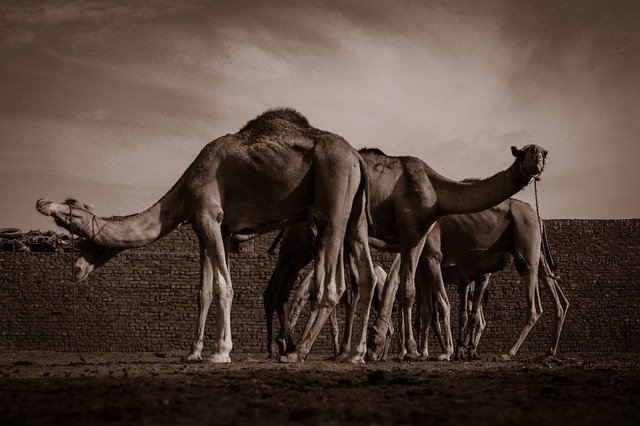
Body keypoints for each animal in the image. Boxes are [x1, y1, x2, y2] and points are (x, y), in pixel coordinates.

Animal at [37, 108, 378, 364]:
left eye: (91, 241)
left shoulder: (208, 215)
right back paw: (356, 355)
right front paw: (193, 352)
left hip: (332, 202)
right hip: (355, 215)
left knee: (334, 283)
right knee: (368, 274)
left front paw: (221, 352)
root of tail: (356, 158)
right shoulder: (214, 229)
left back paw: (298, 353)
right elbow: (203, 292)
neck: (183, 189)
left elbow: (223, 285)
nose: (76, 269)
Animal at [262, 145, 548, 362]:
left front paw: (412, 351)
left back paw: (288, 346)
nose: (538, 160)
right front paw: (422, 351)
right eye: (525, 152)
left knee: (288, 286)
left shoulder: (418, 236)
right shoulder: (413, 234)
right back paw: (288, 347)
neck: (436, 191)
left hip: (306, 243)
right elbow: (416, 296)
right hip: (301, 239)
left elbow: (408, 293)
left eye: (543, 151)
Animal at [408, 198, 568, 362]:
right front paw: (423, 352)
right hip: (537, 255)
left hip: (526, 246)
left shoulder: (433, 256)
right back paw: (549, 351)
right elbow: (426, 309)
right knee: (558, 298)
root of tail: (537, 217)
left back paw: (508, 352)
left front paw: (446, 352)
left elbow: (442, 305)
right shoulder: (424, 266)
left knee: (534, 307)